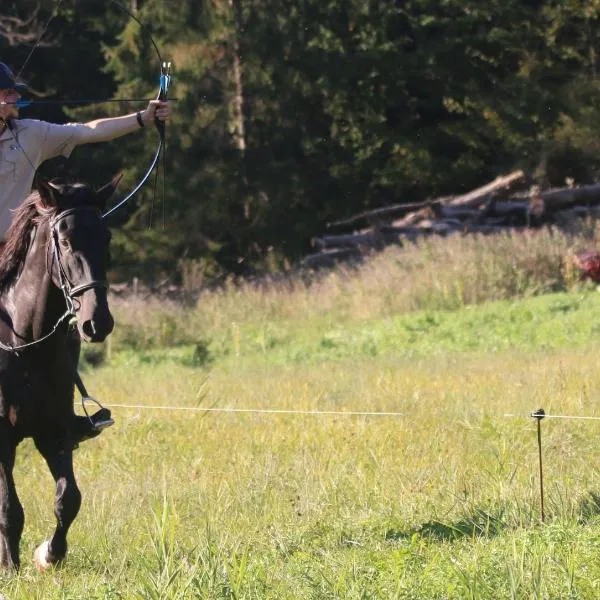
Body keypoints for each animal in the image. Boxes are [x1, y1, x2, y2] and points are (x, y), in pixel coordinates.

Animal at [0, 176, 118, 568]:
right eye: (64, 241)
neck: (25, 344)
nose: (97, 323)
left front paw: (49, 554)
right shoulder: (1, 440)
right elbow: (10, 510)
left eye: (106, 237)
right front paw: (11, 566)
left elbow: (69, 499)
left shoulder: (54, 433)